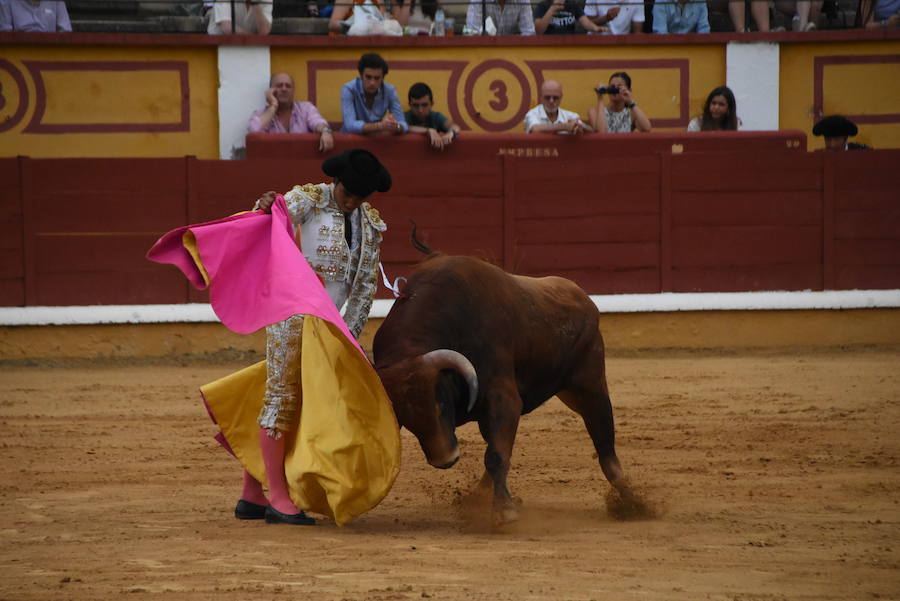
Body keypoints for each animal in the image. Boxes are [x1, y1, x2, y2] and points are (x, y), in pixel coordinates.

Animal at [372, 237, 632, 524]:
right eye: (405, 418)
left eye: (441, 405)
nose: (445, 459)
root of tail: (584, 298)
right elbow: (498, 450)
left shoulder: (504, 397)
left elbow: (496, 454)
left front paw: (504, 510)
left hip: (590, 384)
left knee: (604, 441)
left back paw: (632, 501)